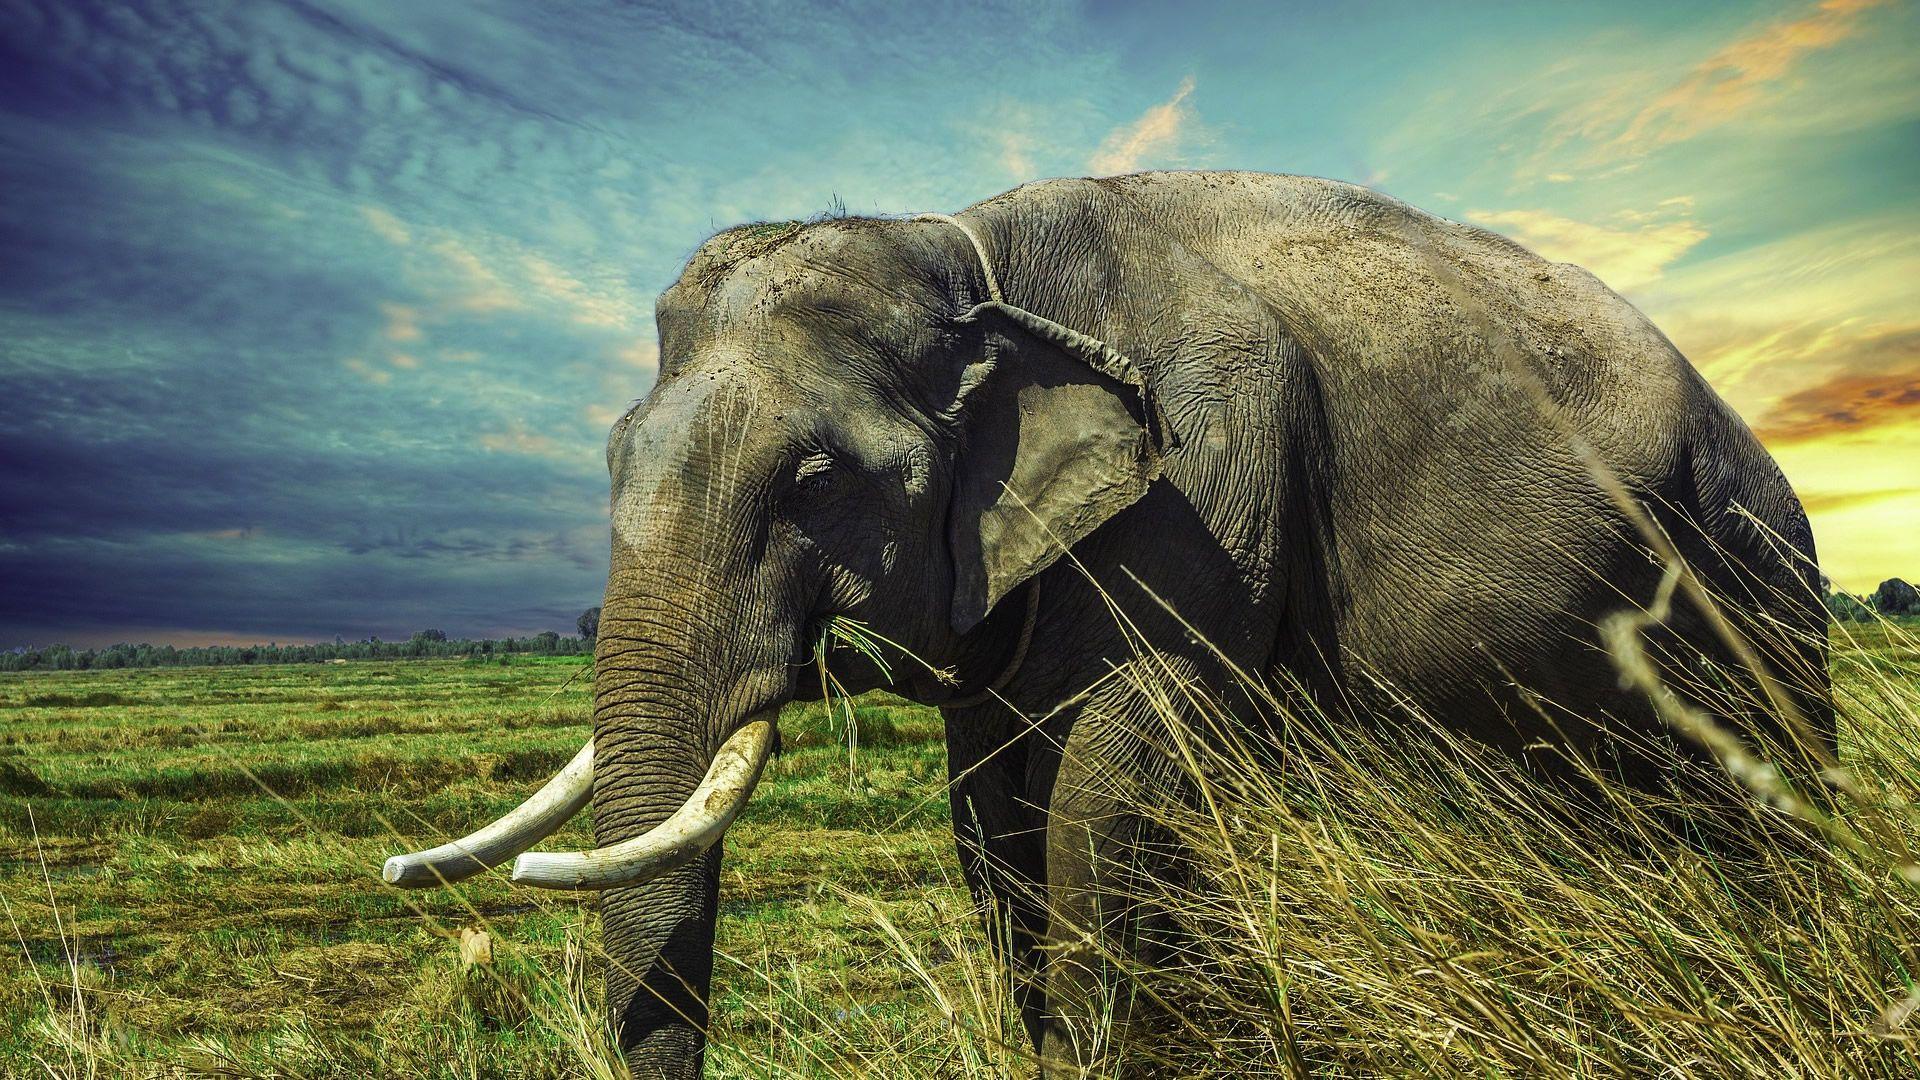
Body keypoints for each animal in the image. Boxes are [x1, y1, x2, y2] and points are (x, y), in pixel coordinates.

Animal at [384, 171, 1832, 1078]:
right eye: (611, 457)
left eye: (813, 482)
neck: (968, 253)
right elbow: (990, 817)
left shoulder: (1209, 485)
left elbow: (1109, 785)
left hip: (1760, 569)